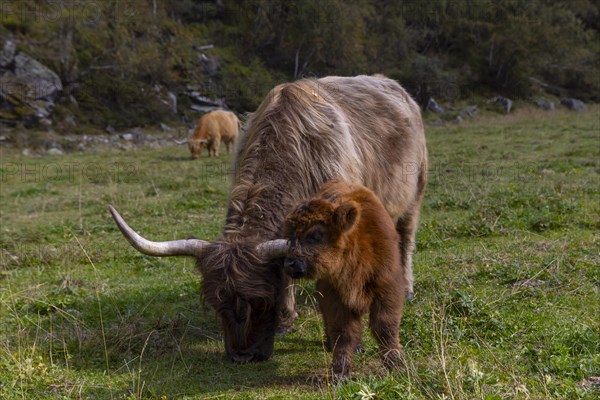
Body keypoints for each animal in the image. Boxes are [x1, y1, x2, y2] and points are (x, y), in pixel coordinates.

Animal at [284, 180, 406, 380]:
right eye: (290, 238)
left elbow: (386, 329)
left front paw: (397, 366)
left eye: (316, 235)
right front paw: (339, 373)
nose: (290, 264)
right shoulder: (334, 298)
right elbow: (343, 333)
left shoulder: (388, 290)